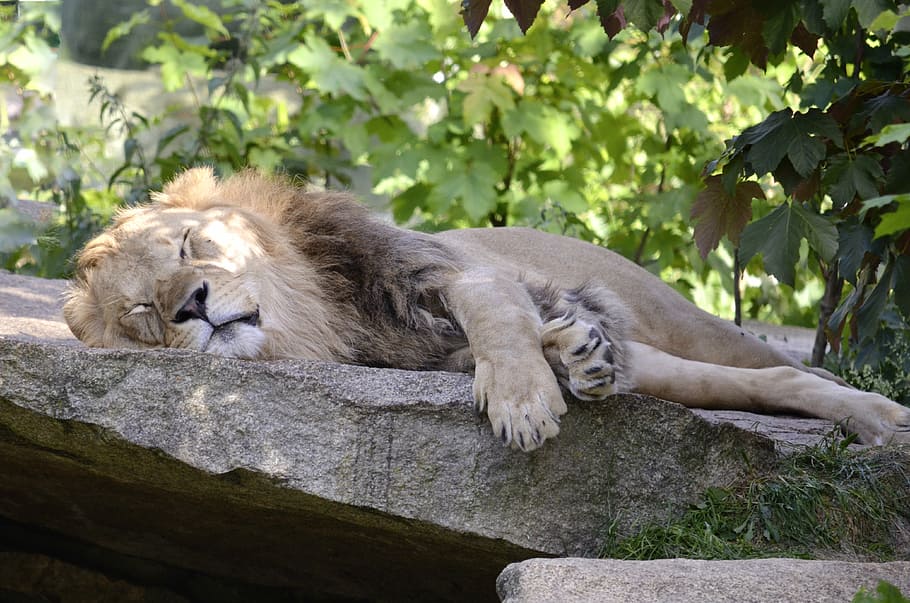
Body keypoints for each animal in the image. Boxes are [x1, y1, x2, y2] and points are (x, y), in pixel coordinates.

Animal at [63, 168, 910, 451]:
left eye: (188, 245)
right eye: (144, 312)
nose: (193, 304)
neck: (321, 317)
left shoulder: (446, 269)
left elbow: (495, 314)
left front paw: (525, 397)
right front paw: (568, 358)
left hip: (687, 324)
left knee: (782, 371)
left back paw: (881, 416)